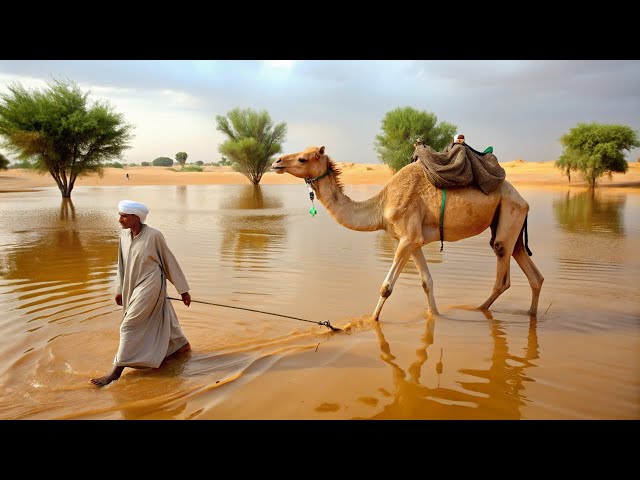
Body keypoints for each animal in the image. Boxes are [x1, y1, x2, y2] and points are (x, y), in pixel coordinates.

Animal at [272, 144, 544, 320]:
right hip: (513, 225)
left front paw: (370, 322)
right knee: (534, 275)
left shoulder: (408, 238)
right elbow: (426, 282)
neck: (381, 206)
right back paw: (530, 314)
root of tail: (523, 200)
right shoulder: (413, 242)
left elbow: (386, 287)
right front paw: (435, 315)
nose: (276, 162)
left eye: (302, 159)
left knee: (503, 276)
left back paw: (478, 310)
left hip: (508, 217)